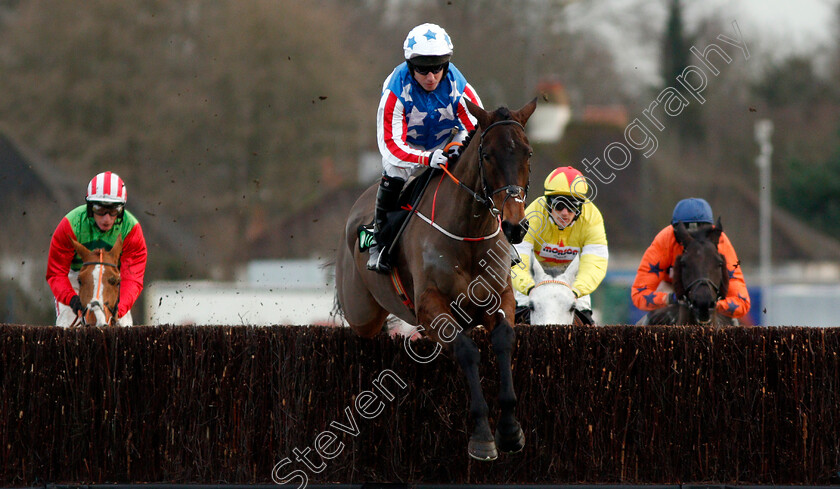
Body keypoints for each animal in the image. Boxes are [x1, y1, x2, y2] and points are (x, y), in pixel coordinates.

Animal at [336, 98, 540, 458]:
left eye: (527, 153)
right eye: (488, 155)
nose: (515, 225)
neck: (468, 232)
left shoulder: (500, 296)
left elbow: (503, 340)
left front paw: (510, 431)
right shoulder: (431, 307)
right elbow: (467, 351)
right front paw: (482, 436)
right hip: (361, 313)